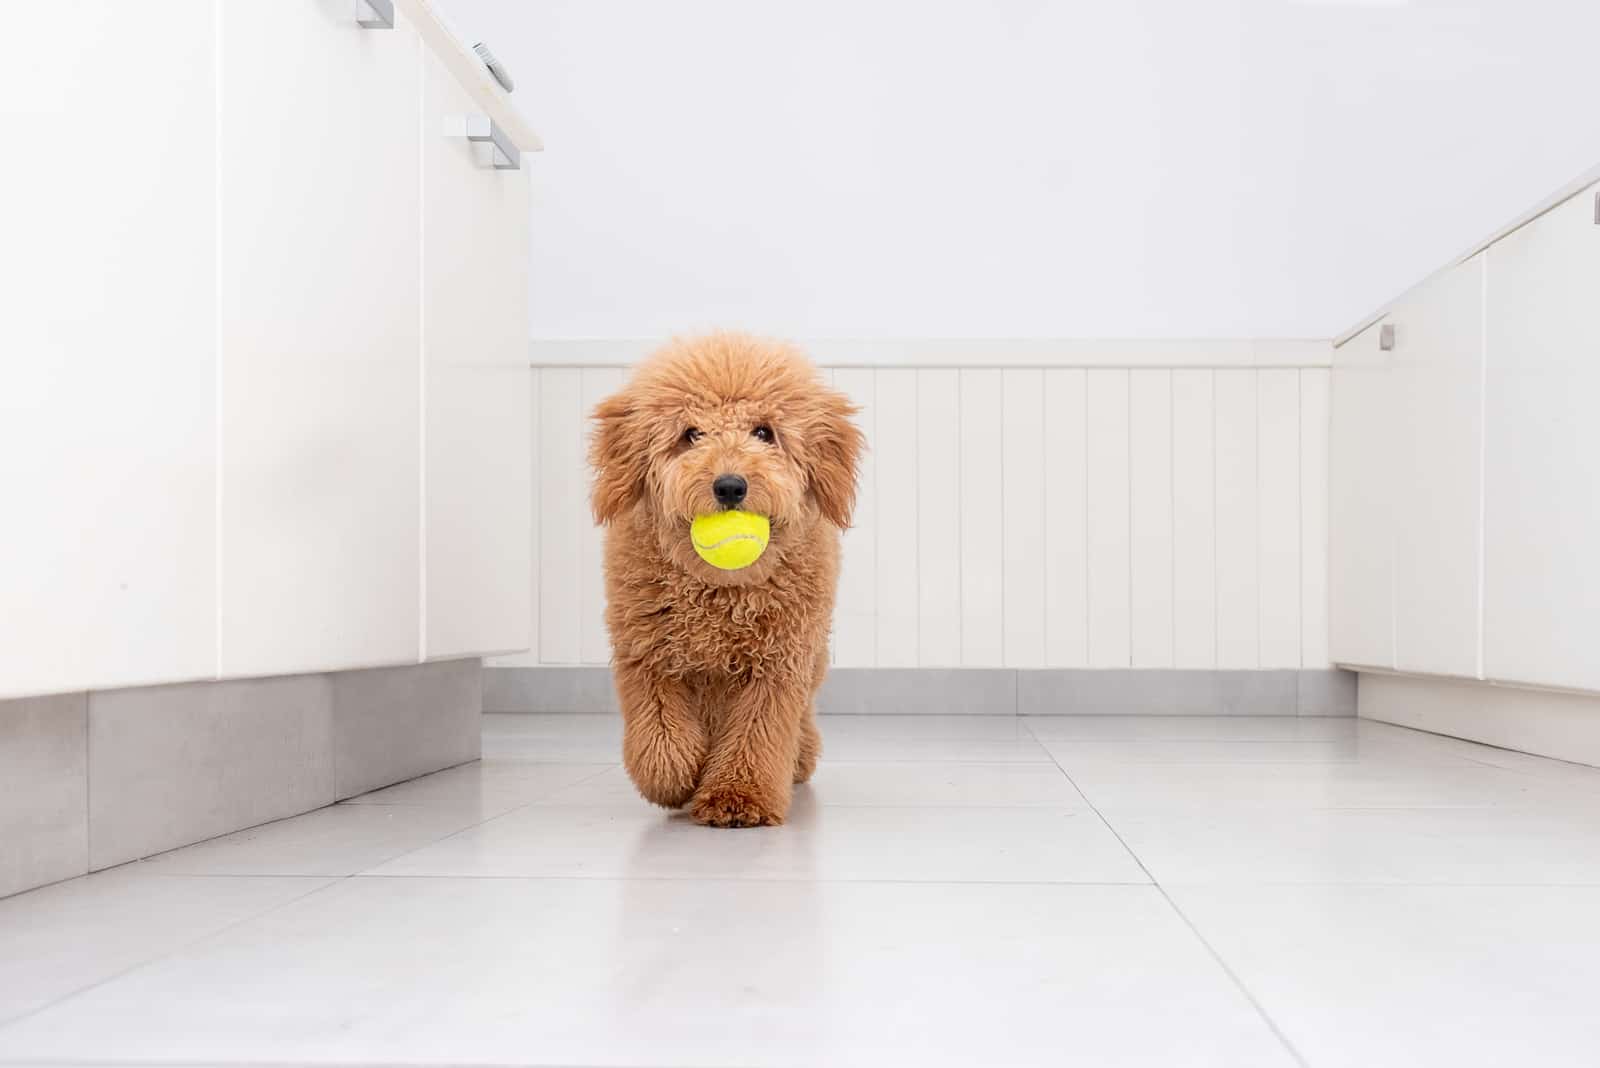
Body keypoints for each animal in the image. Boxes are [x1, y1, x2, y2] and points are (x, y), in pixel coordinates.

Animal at [588, 330, 864, 824]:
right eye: (690, 434)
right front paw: (675, 777)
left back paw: (799, 758)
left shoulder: (779, 663)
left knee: (802, 719)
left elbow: (757, 734)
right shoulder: (646, 652)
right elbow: (659, 734)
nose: (730, 486)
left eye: (764, 432)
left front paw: (738, 796)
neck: (718, 590)